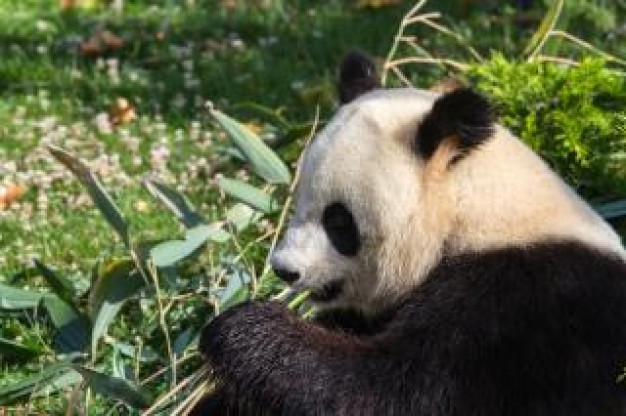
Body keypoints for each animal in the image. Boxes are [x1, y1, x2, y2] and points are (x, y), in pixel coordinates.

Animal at [197, 52, 624, 416]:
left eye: (339, 222)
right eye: (299, 204)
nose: (285, 269)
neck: (472, 209)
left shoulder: (522, 308)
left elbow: (394, 390)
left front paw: (240, 329)